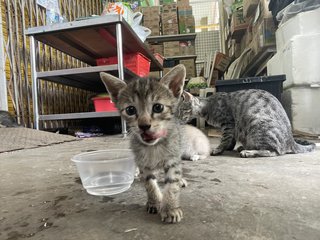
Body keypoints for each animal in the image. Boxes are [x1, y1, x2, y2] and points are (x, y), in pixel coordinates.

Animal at [99, 64, 186, 223]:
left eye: (158, 107)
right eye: (130, 110)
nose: (144, 125)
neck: (153, 147)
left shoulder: (172, 158)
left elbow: (172, 182)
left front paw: (170, 208)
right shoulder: (143, 162)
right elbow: (149, 182)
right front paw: (154, 202)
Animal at [178, 88, 316, 158]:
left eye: (181, 110)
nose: (177, 118)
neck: (208, 105)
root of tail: (291, 140)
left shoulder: (228, 123)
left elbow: (225, 139)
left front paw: (219, 149)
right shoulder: (232, 128)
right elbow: (231, 140)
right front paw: (228, 148)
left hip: (256, 124)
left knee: (274, 152)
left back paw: (249, 152)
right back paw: (244, 147)